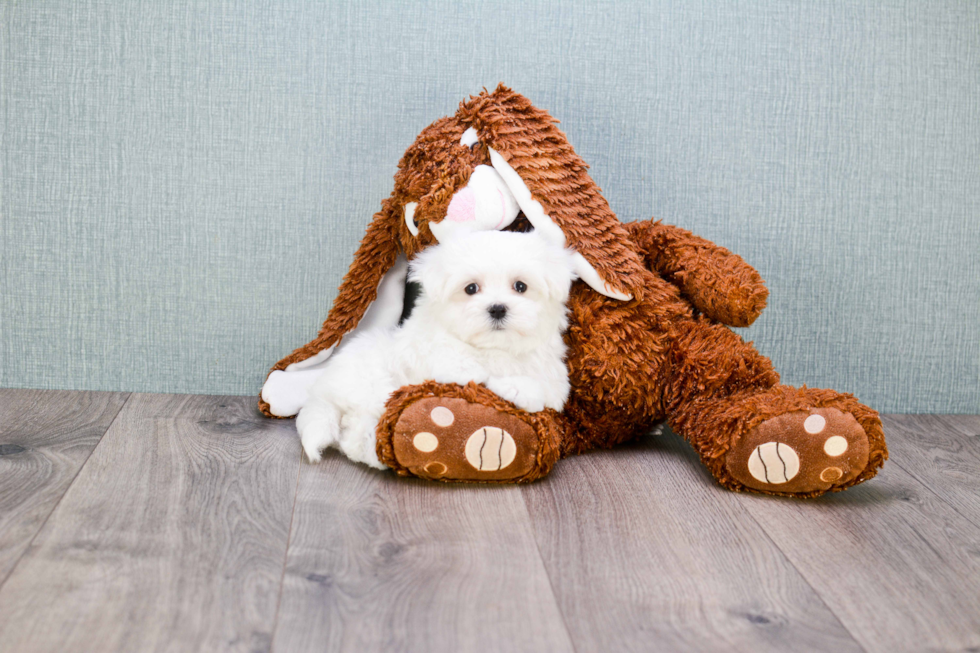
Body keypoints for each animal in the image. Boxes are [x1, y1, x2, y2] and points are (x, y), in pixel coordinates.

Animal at [296, 232, 576, 466]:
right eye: (471, 288)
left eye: (520, 286)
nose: (497, 308)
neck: (495, 347)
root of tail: (323, 389)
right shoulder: (444, 361)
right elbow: (476, 372)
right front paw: (516, 386)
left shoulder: (553, 374)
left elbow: (550, 388)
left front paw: (526, 388)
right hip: (371, 387)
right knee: (354, 431)